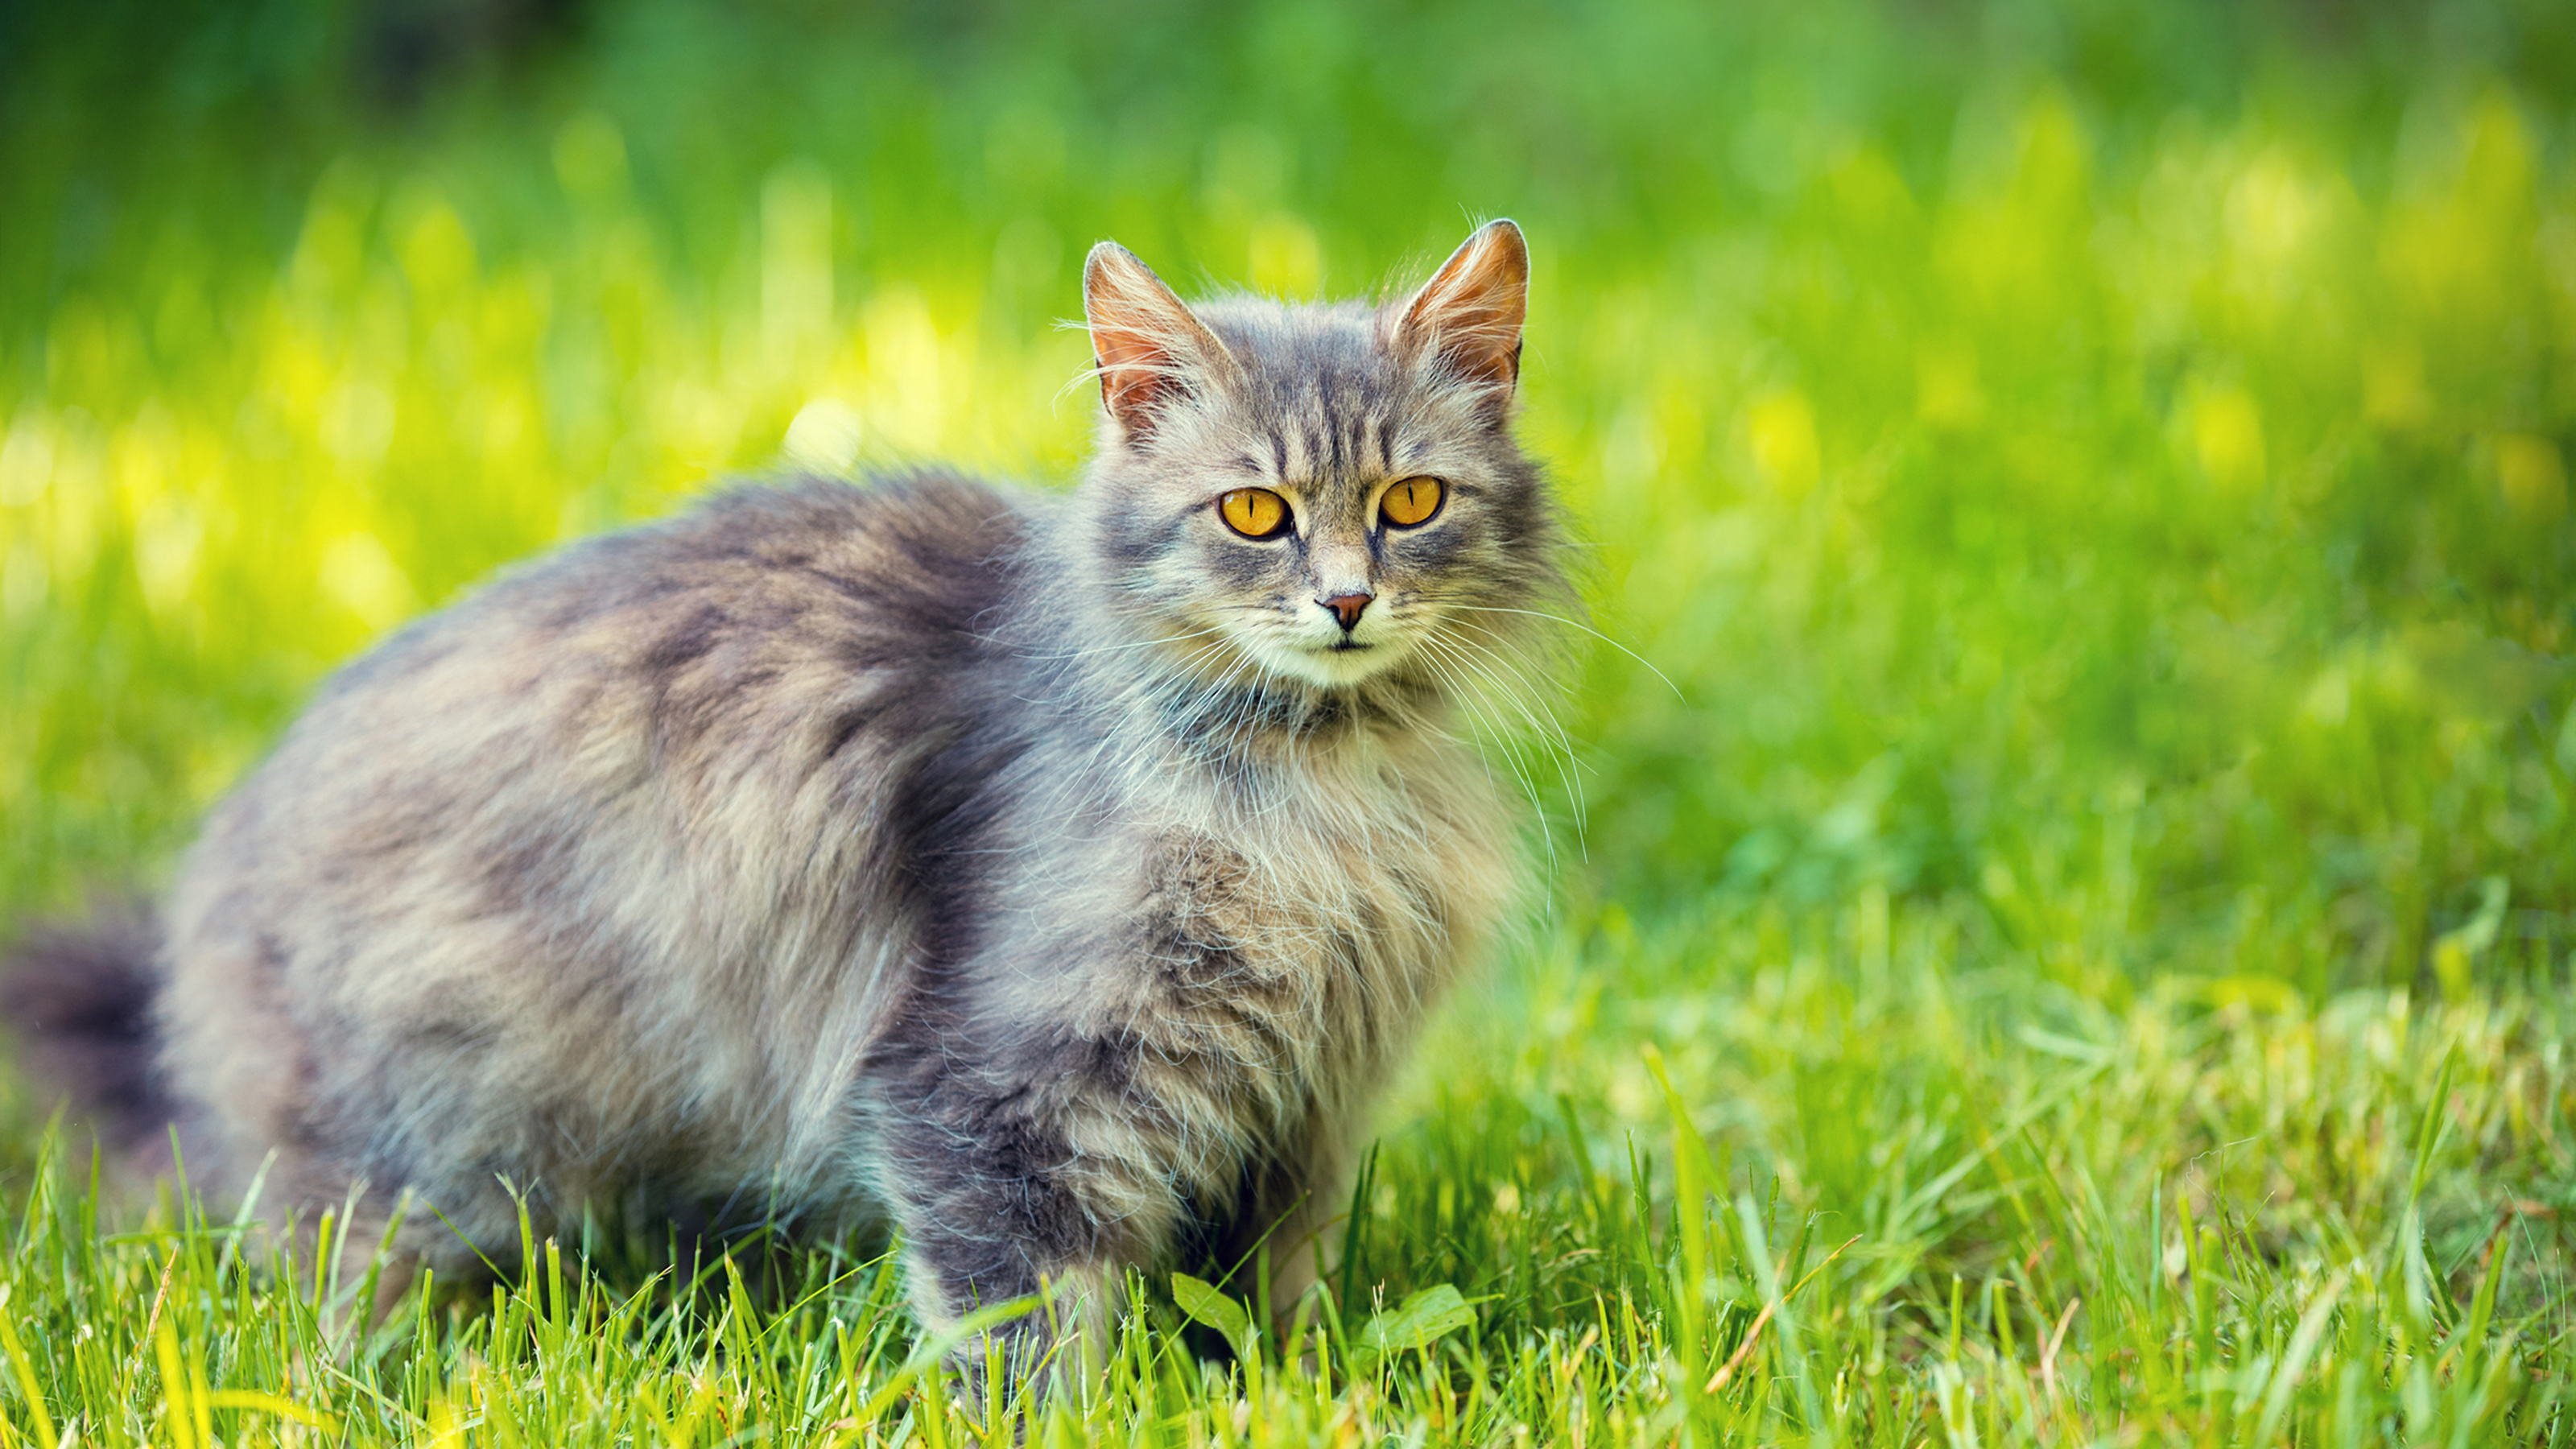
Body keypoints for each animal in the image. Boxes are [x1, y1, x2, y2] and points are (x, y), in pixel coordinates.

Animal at [0, 217, 1566, 1371]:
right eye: (1254, 514)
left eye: (1410, 504)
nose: (1348, 602)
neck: (1317, 796)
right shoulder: (990, 1090)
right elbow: (1026, 1328)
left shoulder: (1301, 1106)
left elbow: (1264, 1306)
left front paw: (1285, 1390)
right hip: (428, 1155)